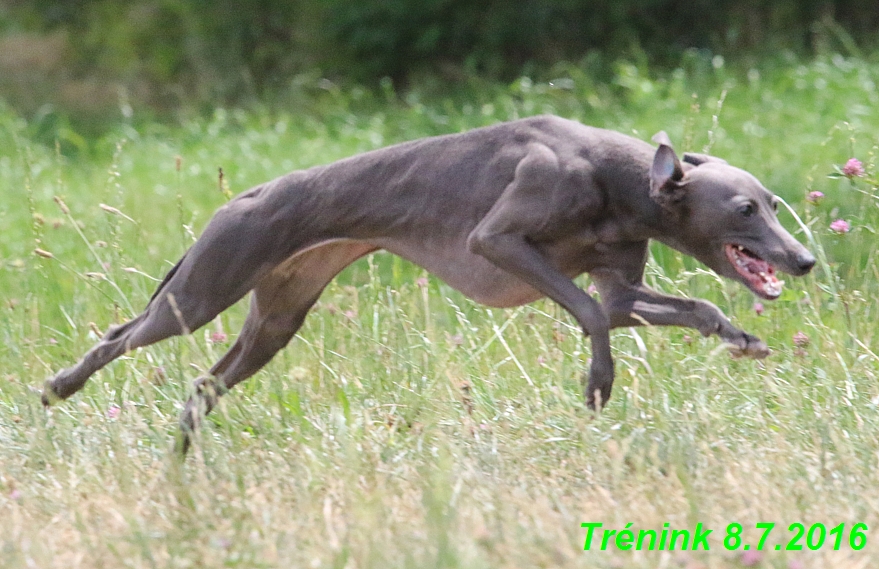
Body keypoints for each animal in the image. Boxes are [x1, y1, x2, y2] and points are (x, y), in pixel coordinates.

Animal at [43, 115, 820, 450]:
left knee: (204, 383)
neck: (616, 176)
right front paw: (598, 383)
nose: (805, 261)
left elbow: (680, 305)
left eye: (774, 205)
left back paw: (182, 444)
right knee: (117, 335)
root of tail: (245, 196)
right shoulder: (498, 242)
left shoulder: (622, 287)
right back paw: (59, 386)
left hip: (276, 317)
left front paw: (740, 336)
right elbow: (591, 316)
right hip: (202, 291)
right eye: (744, 209)